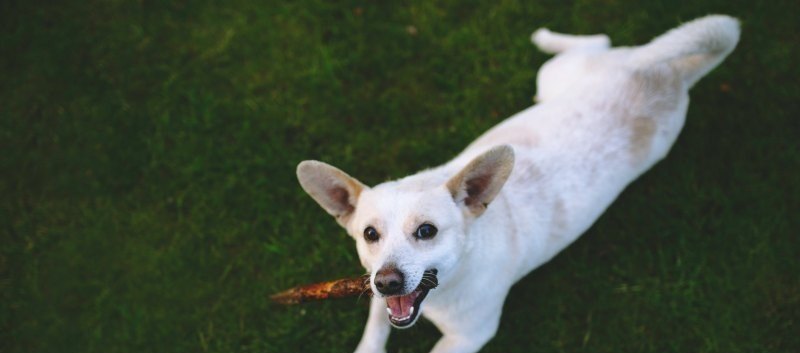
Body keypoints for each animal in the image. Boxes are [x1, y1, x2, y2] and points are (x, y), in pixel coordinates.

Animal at [296, 14, 736, 352]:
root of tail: (670, 71)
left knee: (597, 39)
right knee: (599, 42)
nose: (389, 282)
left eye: (427, 231)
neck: (449, 284)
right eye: (369, 234)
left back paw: (545, 36)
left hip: (562, 79)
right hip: (559, 79)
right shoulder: (374, 290)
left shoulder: (468, 338)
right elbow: (374, 331)